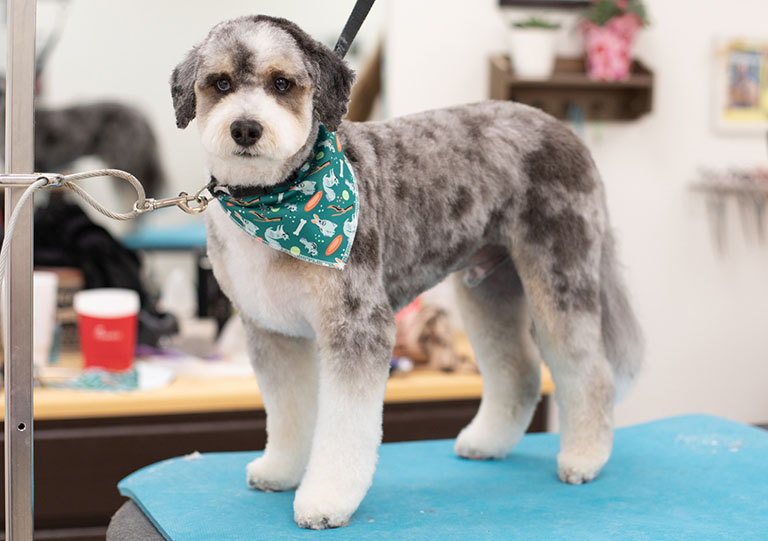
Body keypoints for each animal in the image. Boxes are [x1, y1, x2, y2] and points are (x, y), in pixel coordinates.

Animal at [172, 14, 640, 528]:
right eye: (220, 83)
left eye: (281, 83)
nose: (245, 128)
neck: (273, 200)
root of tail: (564, 131)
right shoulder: (272, 331)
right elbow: (288, 410)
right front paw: (281, 471)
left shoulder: (357, 324)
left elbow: (345, 426)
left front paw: (326, 501)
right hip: (490, 289)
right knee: (518, 371)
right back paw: (488, 443)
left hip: (560, 274)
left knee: (590, 373)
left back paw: (585, 458)